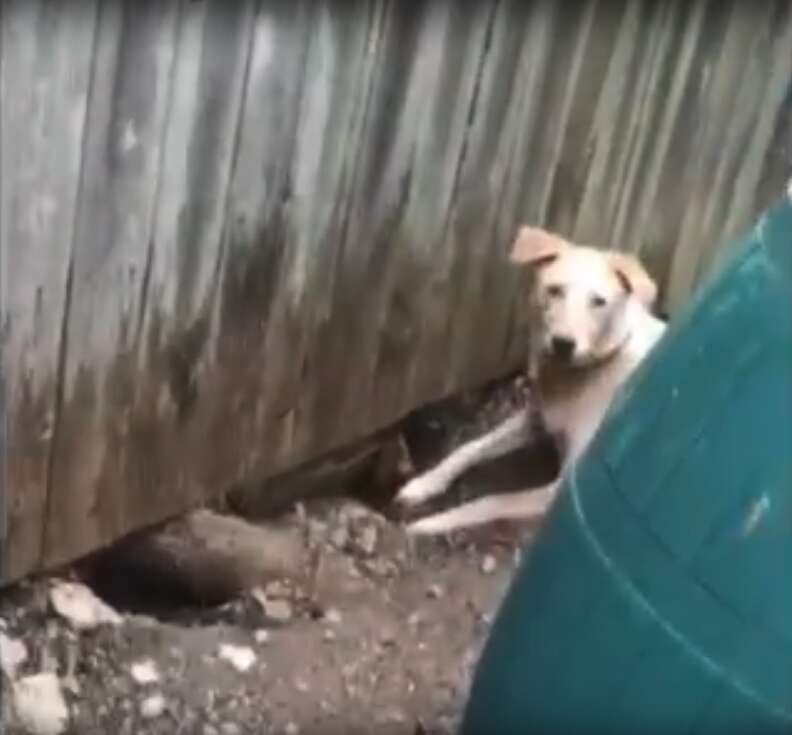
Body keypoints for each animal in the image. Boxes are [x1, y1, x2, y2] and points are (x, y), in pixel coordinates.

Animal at [392, 226, 664, 536]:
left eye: (599, 302)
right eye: (554, 290)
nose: (562, 343)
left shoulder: (561, 490)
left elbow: (491, 501)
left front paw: (432, 523)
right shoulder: (534, 419)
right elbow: (469, 447)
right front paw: (423, 484)